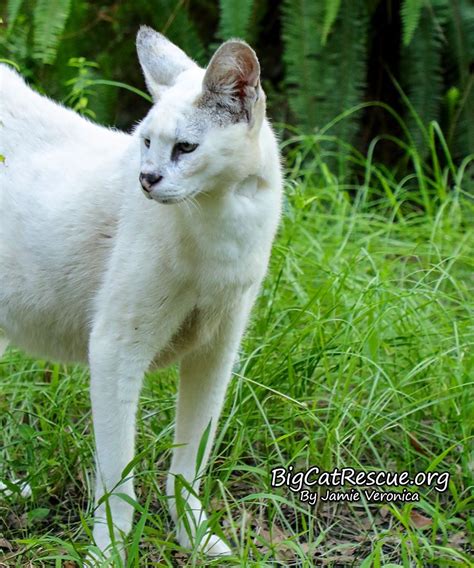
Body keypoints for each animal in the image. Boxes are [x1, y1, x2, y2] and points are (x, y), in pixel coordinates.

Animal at [0, 25, 282, 560]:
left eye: (186, 148)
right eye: (146, 142)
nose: (146, 178)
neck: (219, 222)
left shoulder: (217, 352)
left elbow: (188, 466)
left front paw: (195, 538)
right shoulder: (114, 350)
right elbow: (118, 480)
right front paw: (107, 554)